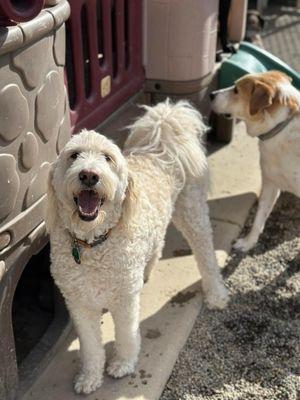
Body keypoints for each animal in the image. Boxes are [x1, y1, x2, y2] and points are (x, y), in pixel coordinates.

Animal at [46, 100, 227, 394]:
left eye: (107, 157)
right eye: (74, 155)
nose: (89, 175)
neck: (93, 244)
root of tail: (161, 142)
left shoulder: (124, 299)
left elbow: (126, 334)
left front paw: (123, 363)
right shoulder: (78, 302)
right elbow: (91, 345)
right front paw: (90, 377)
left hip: (192, 212)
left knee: (206, 254)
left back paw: (216, 294)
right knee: (158, 243)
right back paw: (147, 271)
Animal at [210, 69, 300, 250]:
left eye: (236, 90)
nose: (210, 94)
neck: (280, 127)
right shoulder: (270, 183)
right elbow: (259, 218)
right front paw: (248, 243)